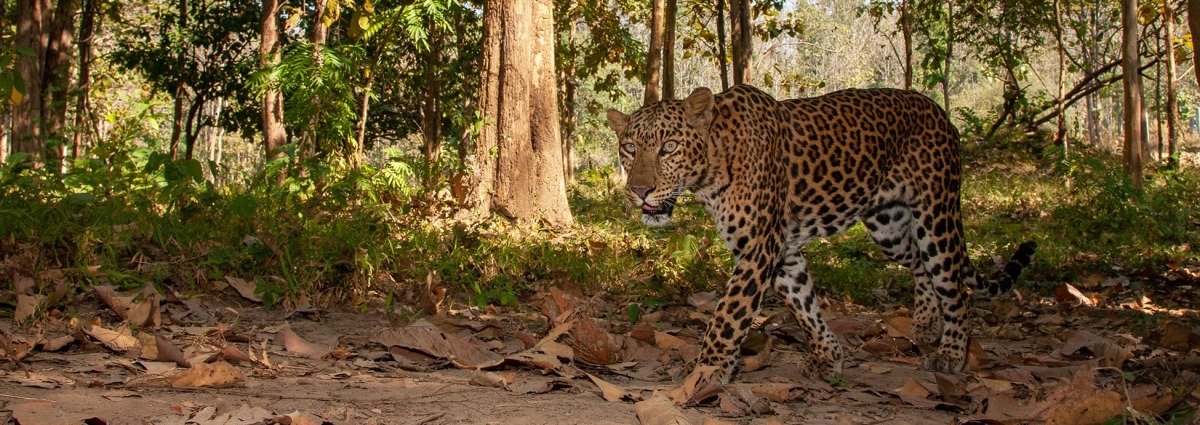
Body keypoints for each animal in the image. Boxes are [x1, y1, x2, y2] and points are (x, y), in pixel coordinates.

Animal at [604, 84, 1036, 384]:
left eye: (669, 147)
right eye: (629, 148)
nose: (639, 190)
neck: (713, 165)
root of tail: (938, 111)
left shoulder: (759, 249)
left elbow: (729, 315)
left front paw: (706, 370)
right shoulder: (779, 251)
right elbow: (804, 305)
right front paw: (830, 357)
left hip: (936, 213)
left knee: (955, 286)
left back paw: (951, 353)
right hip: (890, 227)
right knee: (919, 264)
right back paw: (927, 325)